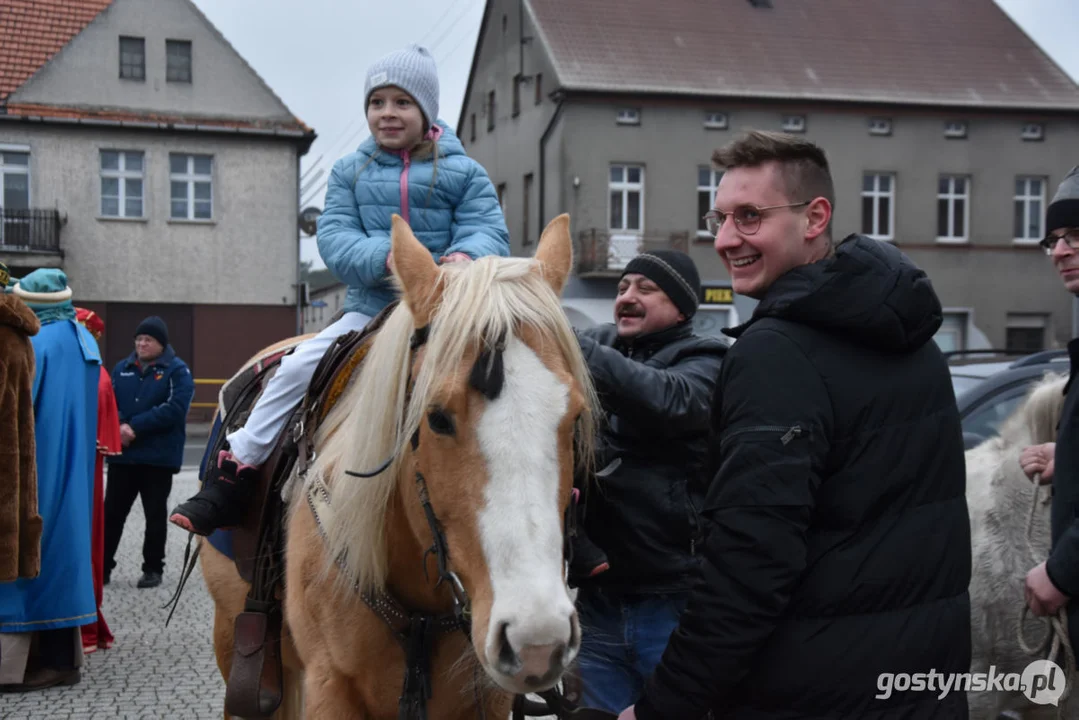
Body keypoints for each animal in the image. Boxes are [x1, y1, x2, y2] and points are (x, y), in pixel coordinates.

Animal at [200, 211, 599, 716]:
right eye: (437, 418)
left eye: (575, 415)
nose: (538, 641)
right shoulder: (329, 686)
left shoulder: (487, 699)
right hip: (233, 640)